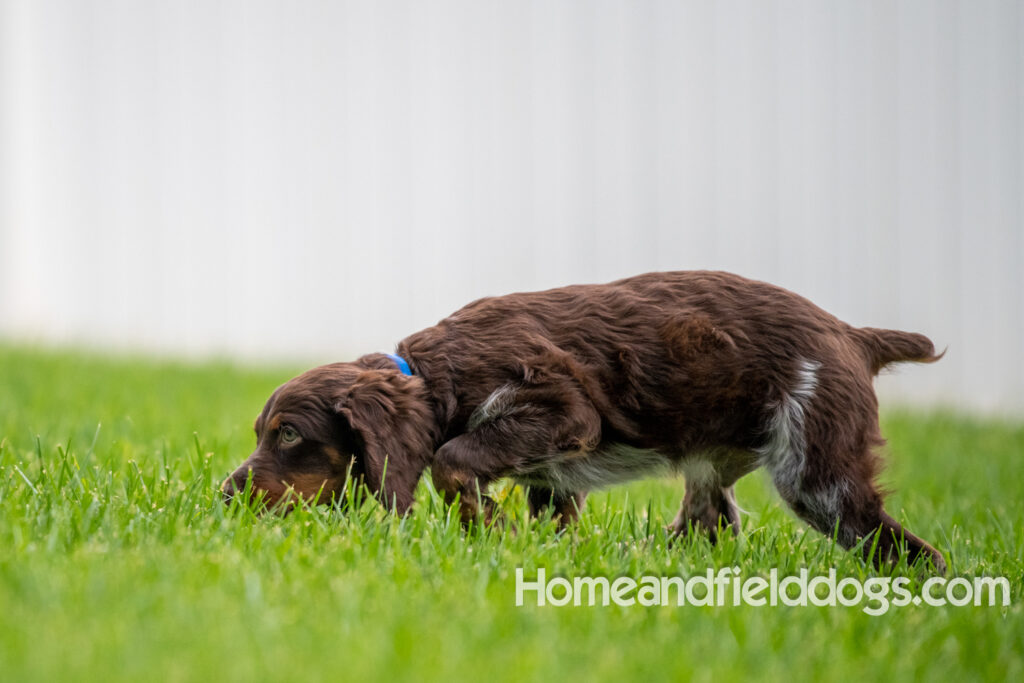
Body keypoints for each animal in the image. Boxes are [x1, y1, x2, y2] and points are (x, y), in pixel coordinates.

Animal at [220, 270, 946, 573]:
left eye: (289, 434)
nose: (224, 494)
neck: (436, 372)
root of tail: (853, 335)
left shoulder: (563, 406)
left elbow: (452, 459)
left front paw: (488, 526)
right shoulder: (553, 477)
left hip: (817, 473)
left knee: (914, 552)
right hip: (714, 473)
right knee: (706, 526)